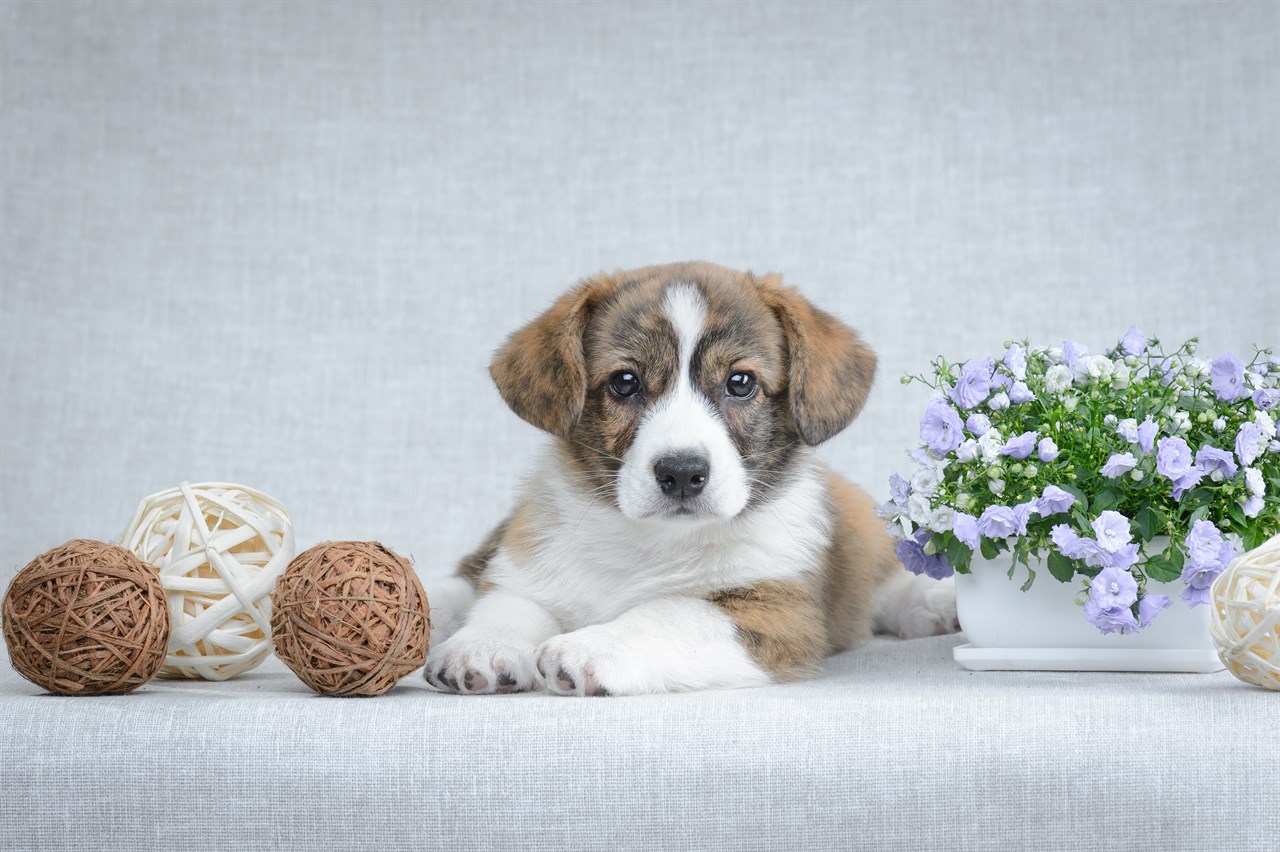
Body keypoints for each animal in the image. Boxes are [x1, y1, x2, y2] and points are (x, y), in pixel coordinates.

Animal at [424, 262, 957, 695]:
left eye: (740, 383)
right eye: (625, 382)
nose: (681, 473)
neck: (649, 542)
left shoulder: (774, 613)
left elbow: (669, 612)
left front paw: (590, 646)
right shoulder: (526, 565)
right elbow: (510, 602)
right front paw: (482, 646)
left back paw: (934, 603)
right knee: (470, 573)